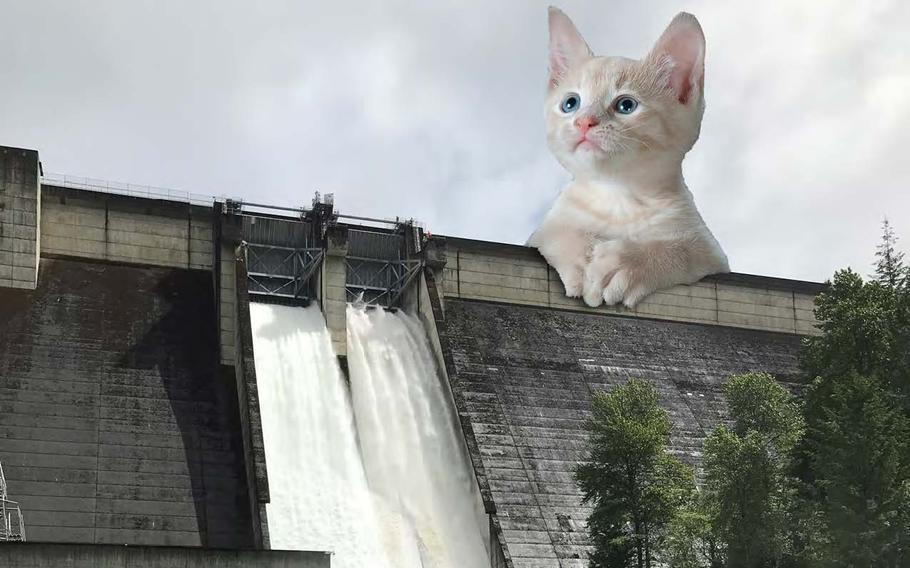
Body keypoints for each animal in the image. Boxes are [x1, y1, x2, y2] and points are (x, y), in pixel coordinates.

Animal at [528, 6, 732, 308]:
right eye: (570, 103)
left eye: (626, 105)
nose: (584, 122)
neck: (618, 198)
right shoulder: (540, 233)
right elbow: (555, 232)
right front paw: (580, 257)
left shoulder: (712, 254)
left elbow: (683, 248)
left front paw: (627, 263)